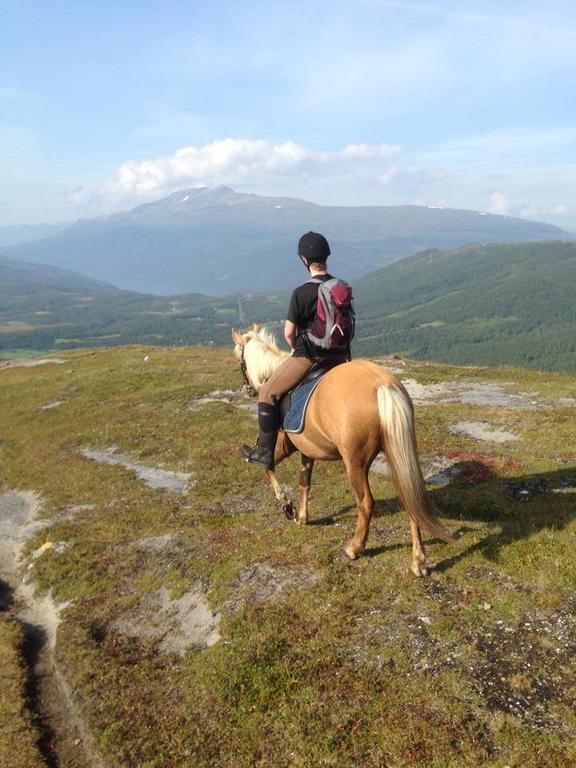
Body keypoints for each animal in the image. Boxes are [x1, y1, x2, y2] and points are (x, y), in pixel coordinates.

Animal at [231, 324, 454, 576]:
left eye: (239, 359)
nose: (248, 390)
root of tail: (383, 385)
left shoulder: (282, 446)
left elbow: (266, 465)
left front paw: (286, 505)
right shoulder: (307, 450)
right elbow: (304, 482)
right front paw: (302, 516)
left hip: (355, 463)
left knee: (366, 503)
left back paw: (354, 548)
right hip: (397, 455)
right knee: (410, 499)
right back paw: (418, 561)